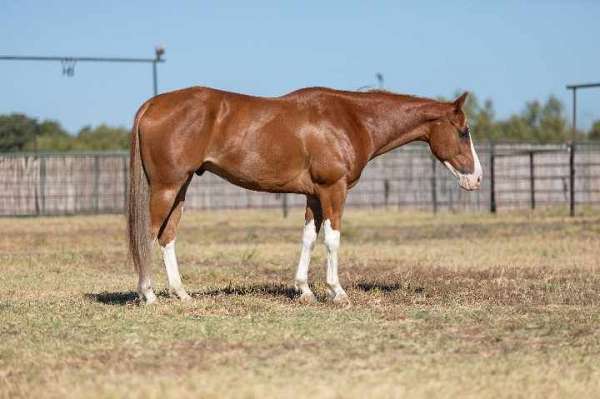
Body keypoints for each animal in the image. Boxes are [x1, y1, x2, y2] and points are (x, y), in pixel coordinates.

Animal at [127, 87, 482, 304]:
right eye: (463, 132)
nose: (477, 178)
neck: (351, 119)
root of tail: (153, 104)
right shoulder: (333, 190)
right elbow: (333, 240)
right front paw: (337, 291)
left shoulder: (314, 196)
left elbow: (309, 239)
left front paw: (304, 290)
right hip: (167, 186)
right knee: (148, 234)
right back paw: (149, 295)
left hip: (181, 188)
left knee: (167, 236)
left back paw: (181, 294)